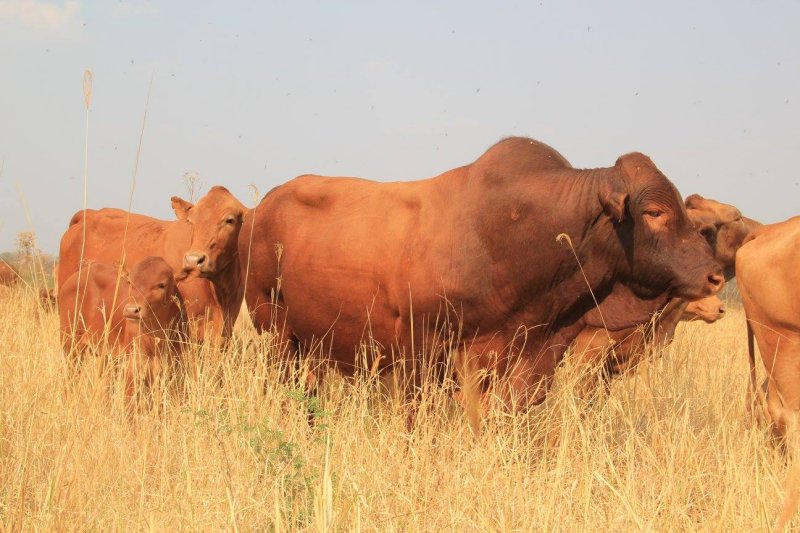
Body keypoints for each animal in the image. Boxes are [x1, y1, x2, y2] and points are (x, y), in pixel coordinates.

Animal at [240, 137, 724, 410]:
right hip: (276, 332)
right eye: (655, 211)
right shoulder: (423, 352)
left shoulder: (537, 360)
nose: (716, 277)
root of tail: (265, 204)